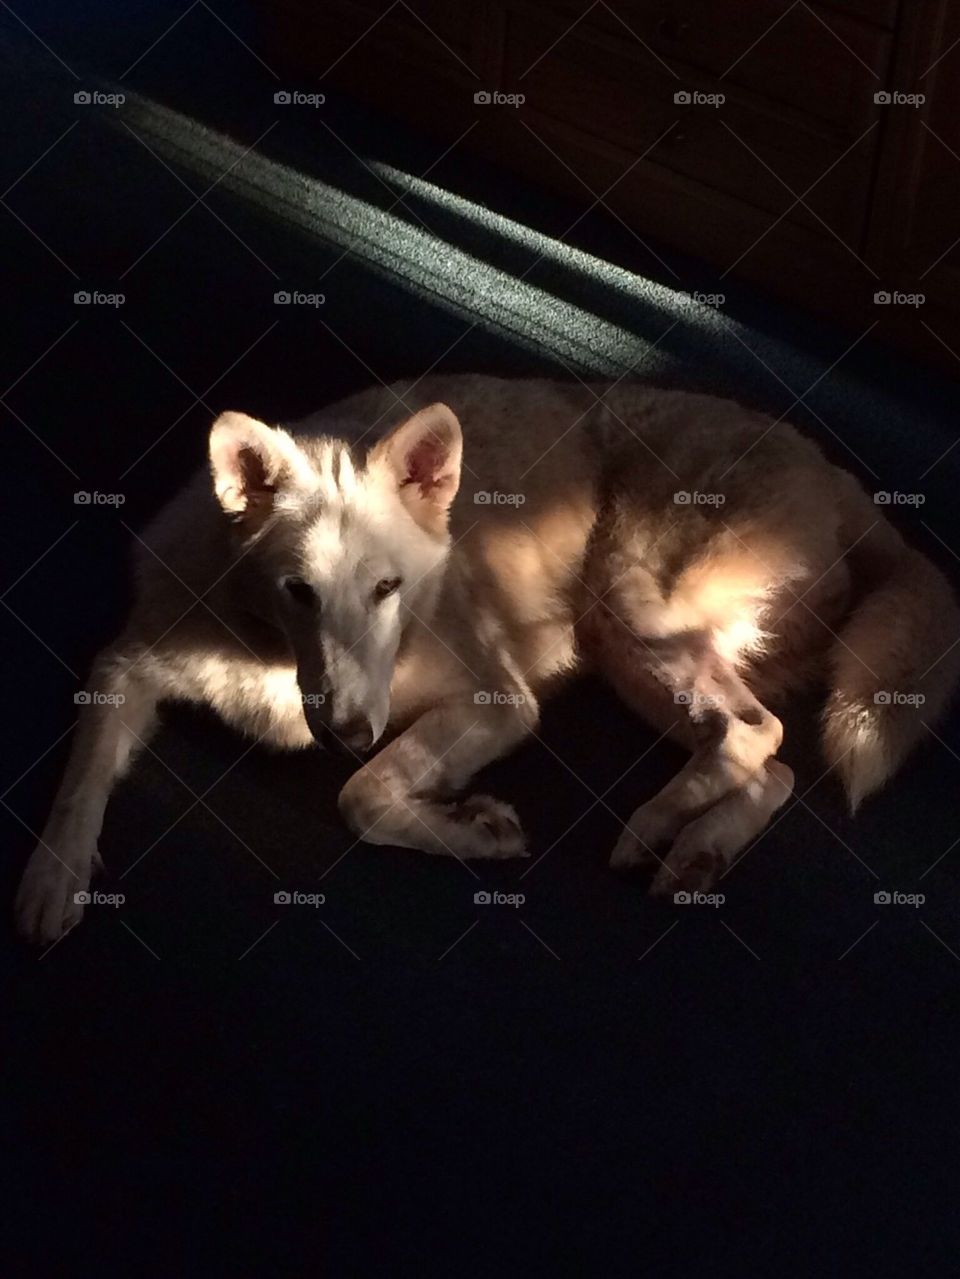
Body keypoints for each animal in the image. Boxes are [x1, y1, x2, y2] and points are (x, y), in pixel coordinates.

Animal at [15, 375, 960, 941]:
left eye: (388, 588)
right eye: (298, 592)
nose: (348, 731)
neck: (271, 657)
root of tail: (836, 473)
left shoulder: (499, 702)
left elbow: (363, 797)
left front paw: (472, 828)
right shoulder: (125, 665)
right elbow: (82, 778)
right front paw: (52, 878)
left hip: (629, 606)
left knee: (757, 736)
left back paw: (656, 824)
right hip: (629, 650)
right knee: (771, 759)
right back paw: (699, 849)